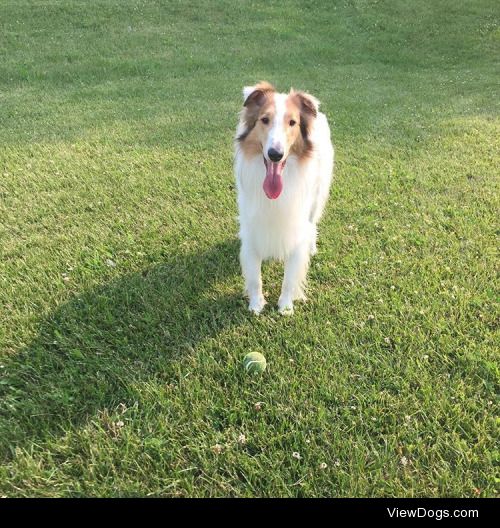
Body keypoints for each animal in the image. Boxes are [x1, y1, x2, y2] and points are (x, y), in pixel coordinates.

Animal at [234, 82, 336, 314]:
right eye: (264, 120)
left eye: (292, 123)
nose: (275, 154)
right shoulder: (252, 227)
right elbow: (254, 276)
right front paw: (256, 305)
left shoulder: (296, 226)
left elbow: (290, 276)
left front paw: (285, 307)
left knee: (313, 224)